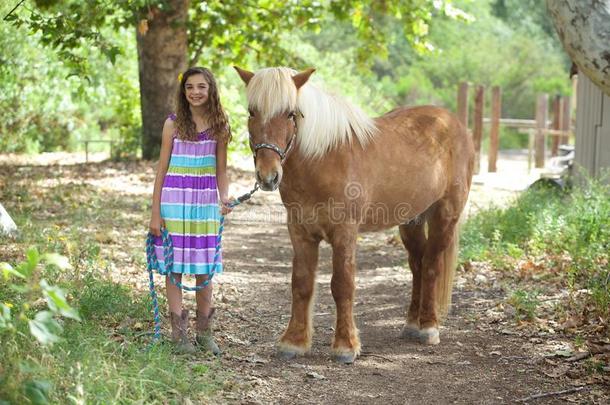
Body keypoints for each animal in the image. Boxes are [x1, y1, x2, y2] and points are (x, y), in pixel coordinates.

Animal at [233, 66, 476, 362]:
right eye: (251, 111)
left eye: (291, 113)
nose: (268, 176)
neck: (324, 159)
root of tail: (454, 123)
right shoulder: (300, 232)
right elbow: (301, 283)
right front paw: (294, 342)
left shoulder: (345, 233)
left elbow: (342, 285)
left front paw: (345, 346)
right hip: (411, 220)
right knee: (417, 265)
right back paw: (411, 325)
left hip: (445, 215)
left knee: (431, 266)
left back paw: (429, 328)